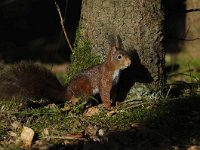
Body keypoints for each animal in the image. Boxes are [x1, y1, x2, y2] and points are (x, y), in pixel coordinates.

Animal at [0, 44, 131, 109]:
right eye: (119, 57)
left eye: (127, 53)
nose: (130, 62)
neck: (114, 69)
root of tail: (66, 92)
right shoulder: (104, 79)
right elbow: (104, 93)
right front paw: (108, 106)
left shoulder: (114, 83)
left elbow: (113, 92)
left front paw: (115, 100)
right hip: (85, 89)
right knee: (75, 100)